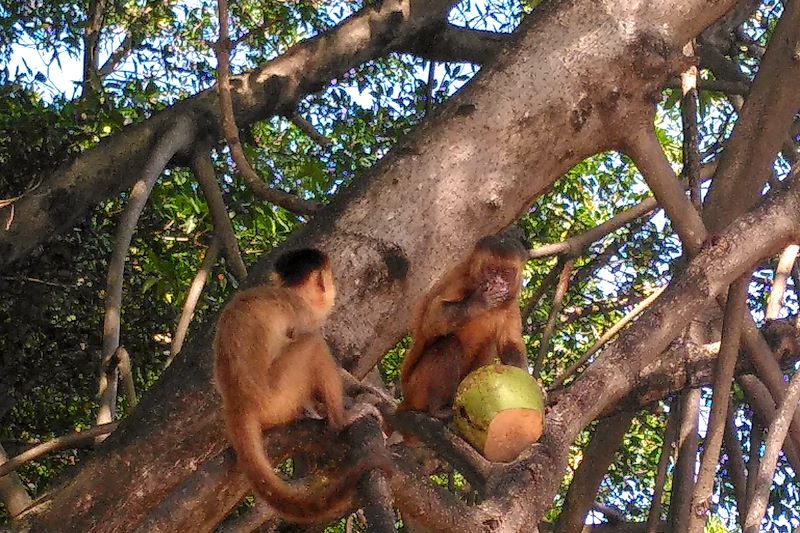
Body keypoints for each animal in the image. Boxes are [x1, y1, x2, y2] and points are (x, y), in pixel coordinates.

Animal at [212, 248, 388, 524]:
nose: (332, 290)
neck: (290, 291)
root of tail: (238, 404)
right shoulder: (302, 312)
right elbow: (306, 336)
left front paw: (363, 391)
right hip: (276, 398)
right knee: (311, 344)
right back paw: (339, 419)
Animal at [398, 234, 532, 420]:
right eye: (491, 270)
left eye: (506, 273)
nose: (498, 282)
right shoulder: (459, 281)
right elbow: (433, 318)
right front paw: (479, 302)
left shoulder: (510, 305)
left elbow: (510, 343)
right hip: (417, 389)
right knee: (449, 344)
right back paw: (438, 409)